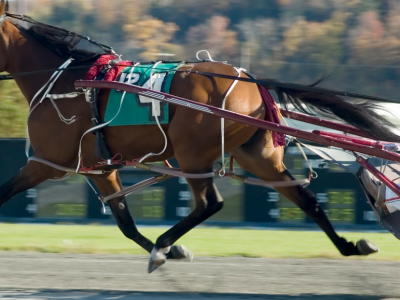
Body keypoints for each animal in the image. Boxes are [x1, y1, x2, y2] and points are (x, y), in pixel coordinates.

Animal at [0, 0, 396, 272]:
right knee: (305, 198)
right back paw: (350, 246)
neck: (66, 81)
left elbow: (3, 193)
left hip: (191, 152)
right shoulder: (100, 168)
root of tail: (253, 81)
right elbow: (125, 221)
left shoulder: (46, 163)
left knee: (211, 203)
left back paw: (163, 244)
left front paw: (166, 250)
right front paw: (170, 250)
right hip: (257, 155)